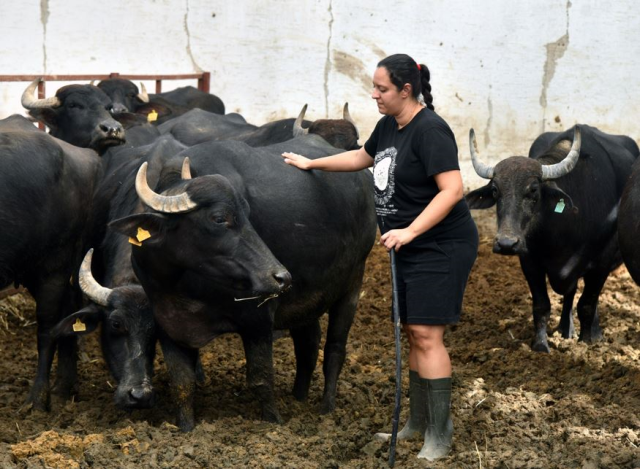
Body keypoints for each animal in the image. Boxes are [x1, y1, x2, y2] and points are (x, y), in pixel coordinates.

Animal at [109, 133, 380, 430]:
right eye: (219, 218)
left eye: (248, 215)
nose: (280, 277)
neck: (182, 286)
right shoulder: (169, 325)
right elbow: (182, 383)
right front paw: (186, 428)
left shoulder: (258, 320)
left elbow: (261, 380)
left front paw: (275, 423)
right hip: (309, 301)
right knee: (307, 344)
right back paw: (299, 398)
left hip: (352, 285)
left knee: (334, 349)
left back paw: (327, 409)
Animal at [468, 124, 636, 352]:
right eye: (495, 190)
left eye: (533, 190)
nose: (506, 244)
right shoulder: (530, 262)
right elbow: (542, 305)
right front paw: (541, 345)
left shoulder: (602, 263)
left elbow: (587, 304)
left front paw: (586, 343)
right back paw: (565, 329)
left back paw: (594, 333)